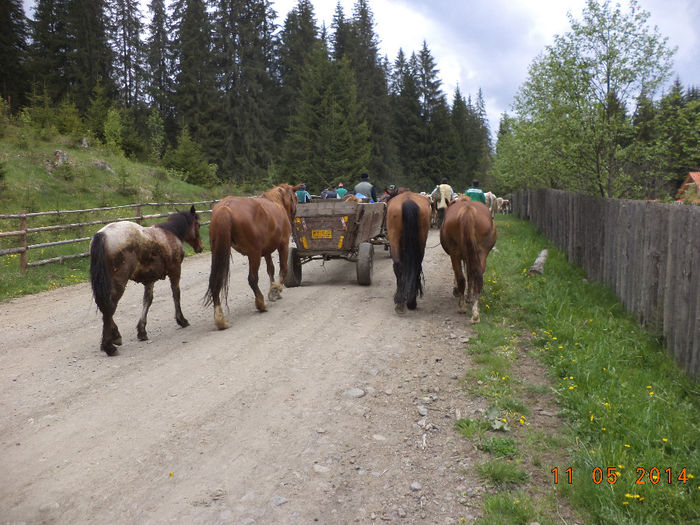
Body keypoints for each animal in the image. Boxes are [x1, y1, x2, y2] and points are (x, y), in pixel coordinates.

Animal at [89, 207, 202, 354]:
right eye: (198, 225)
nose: (200, 247)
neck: (170, 234)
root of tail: (103, 234)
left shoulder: (149, 279)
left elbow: (147, 301)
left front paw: (142, 331)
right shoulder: (175, 271)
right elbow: (176, 294)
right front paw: (181, 320)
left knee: (105, 306)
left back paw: (113, 338)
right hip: (119, 282)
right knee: (109, 306)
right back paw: (109, 346)